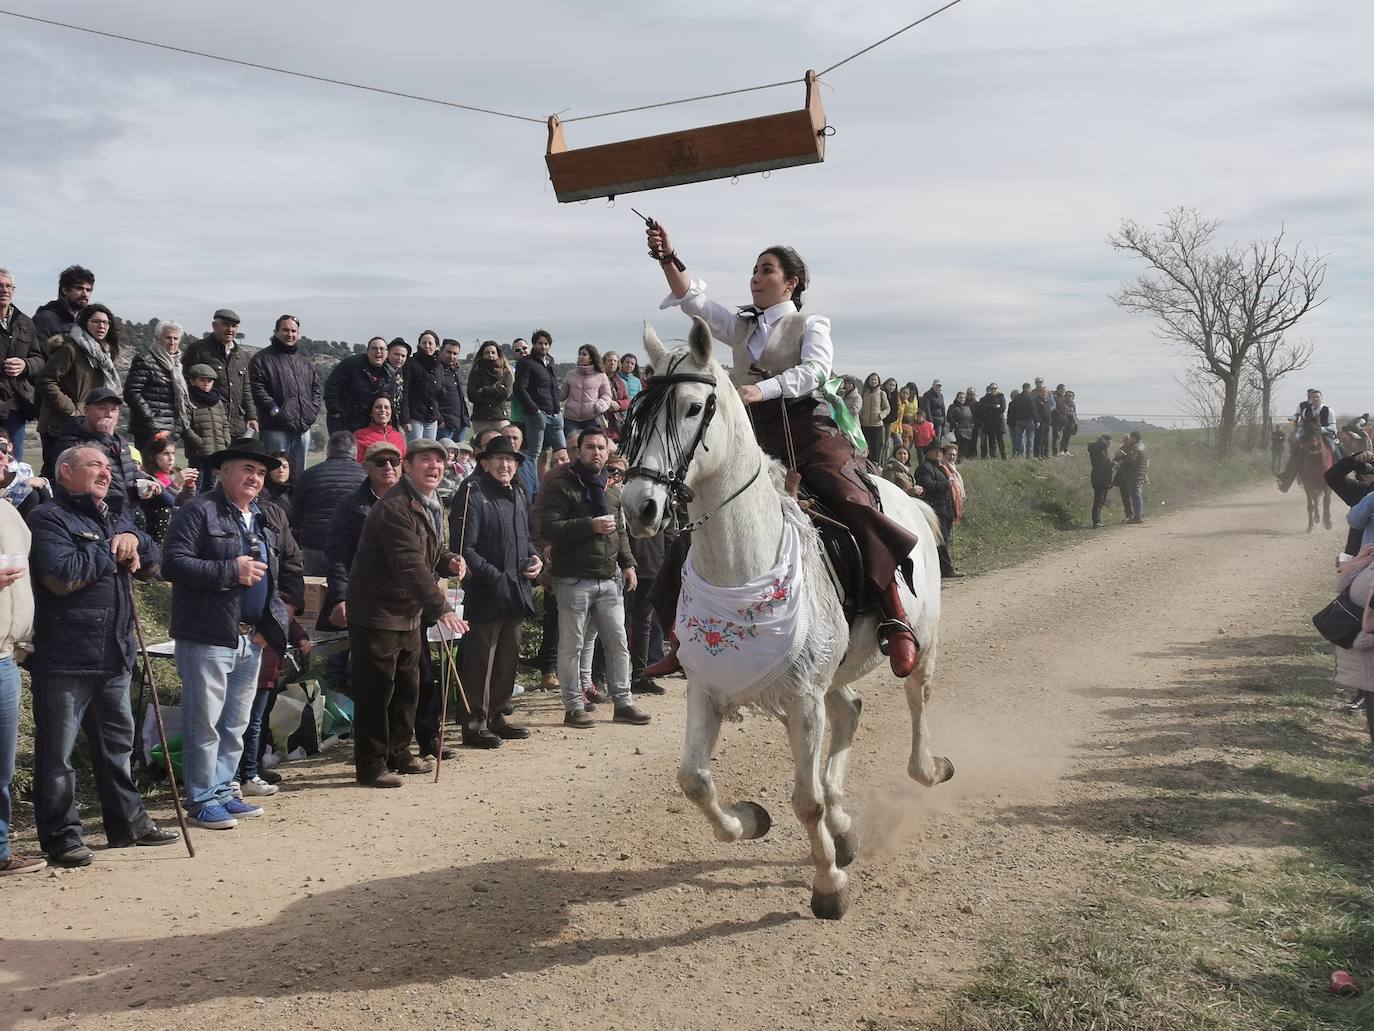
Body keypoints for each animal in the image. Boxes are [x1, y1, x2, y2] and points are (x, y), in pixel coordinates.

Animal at [623, 318, 956, 923]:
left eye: (691, 408)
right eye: (634, 416)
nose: (640, 507)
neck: (742, 563)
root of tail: (911, 501)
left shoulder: (801, 698)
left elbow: (806, 801)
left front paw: (828, 886)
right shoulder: (708, 689)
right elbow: (694, 780)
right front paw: (751, 820)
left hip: (920, 643)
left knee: (917, 700)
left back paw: (927, 768)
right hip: (826, 675)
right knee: (849, 712)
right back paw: (844, 829)